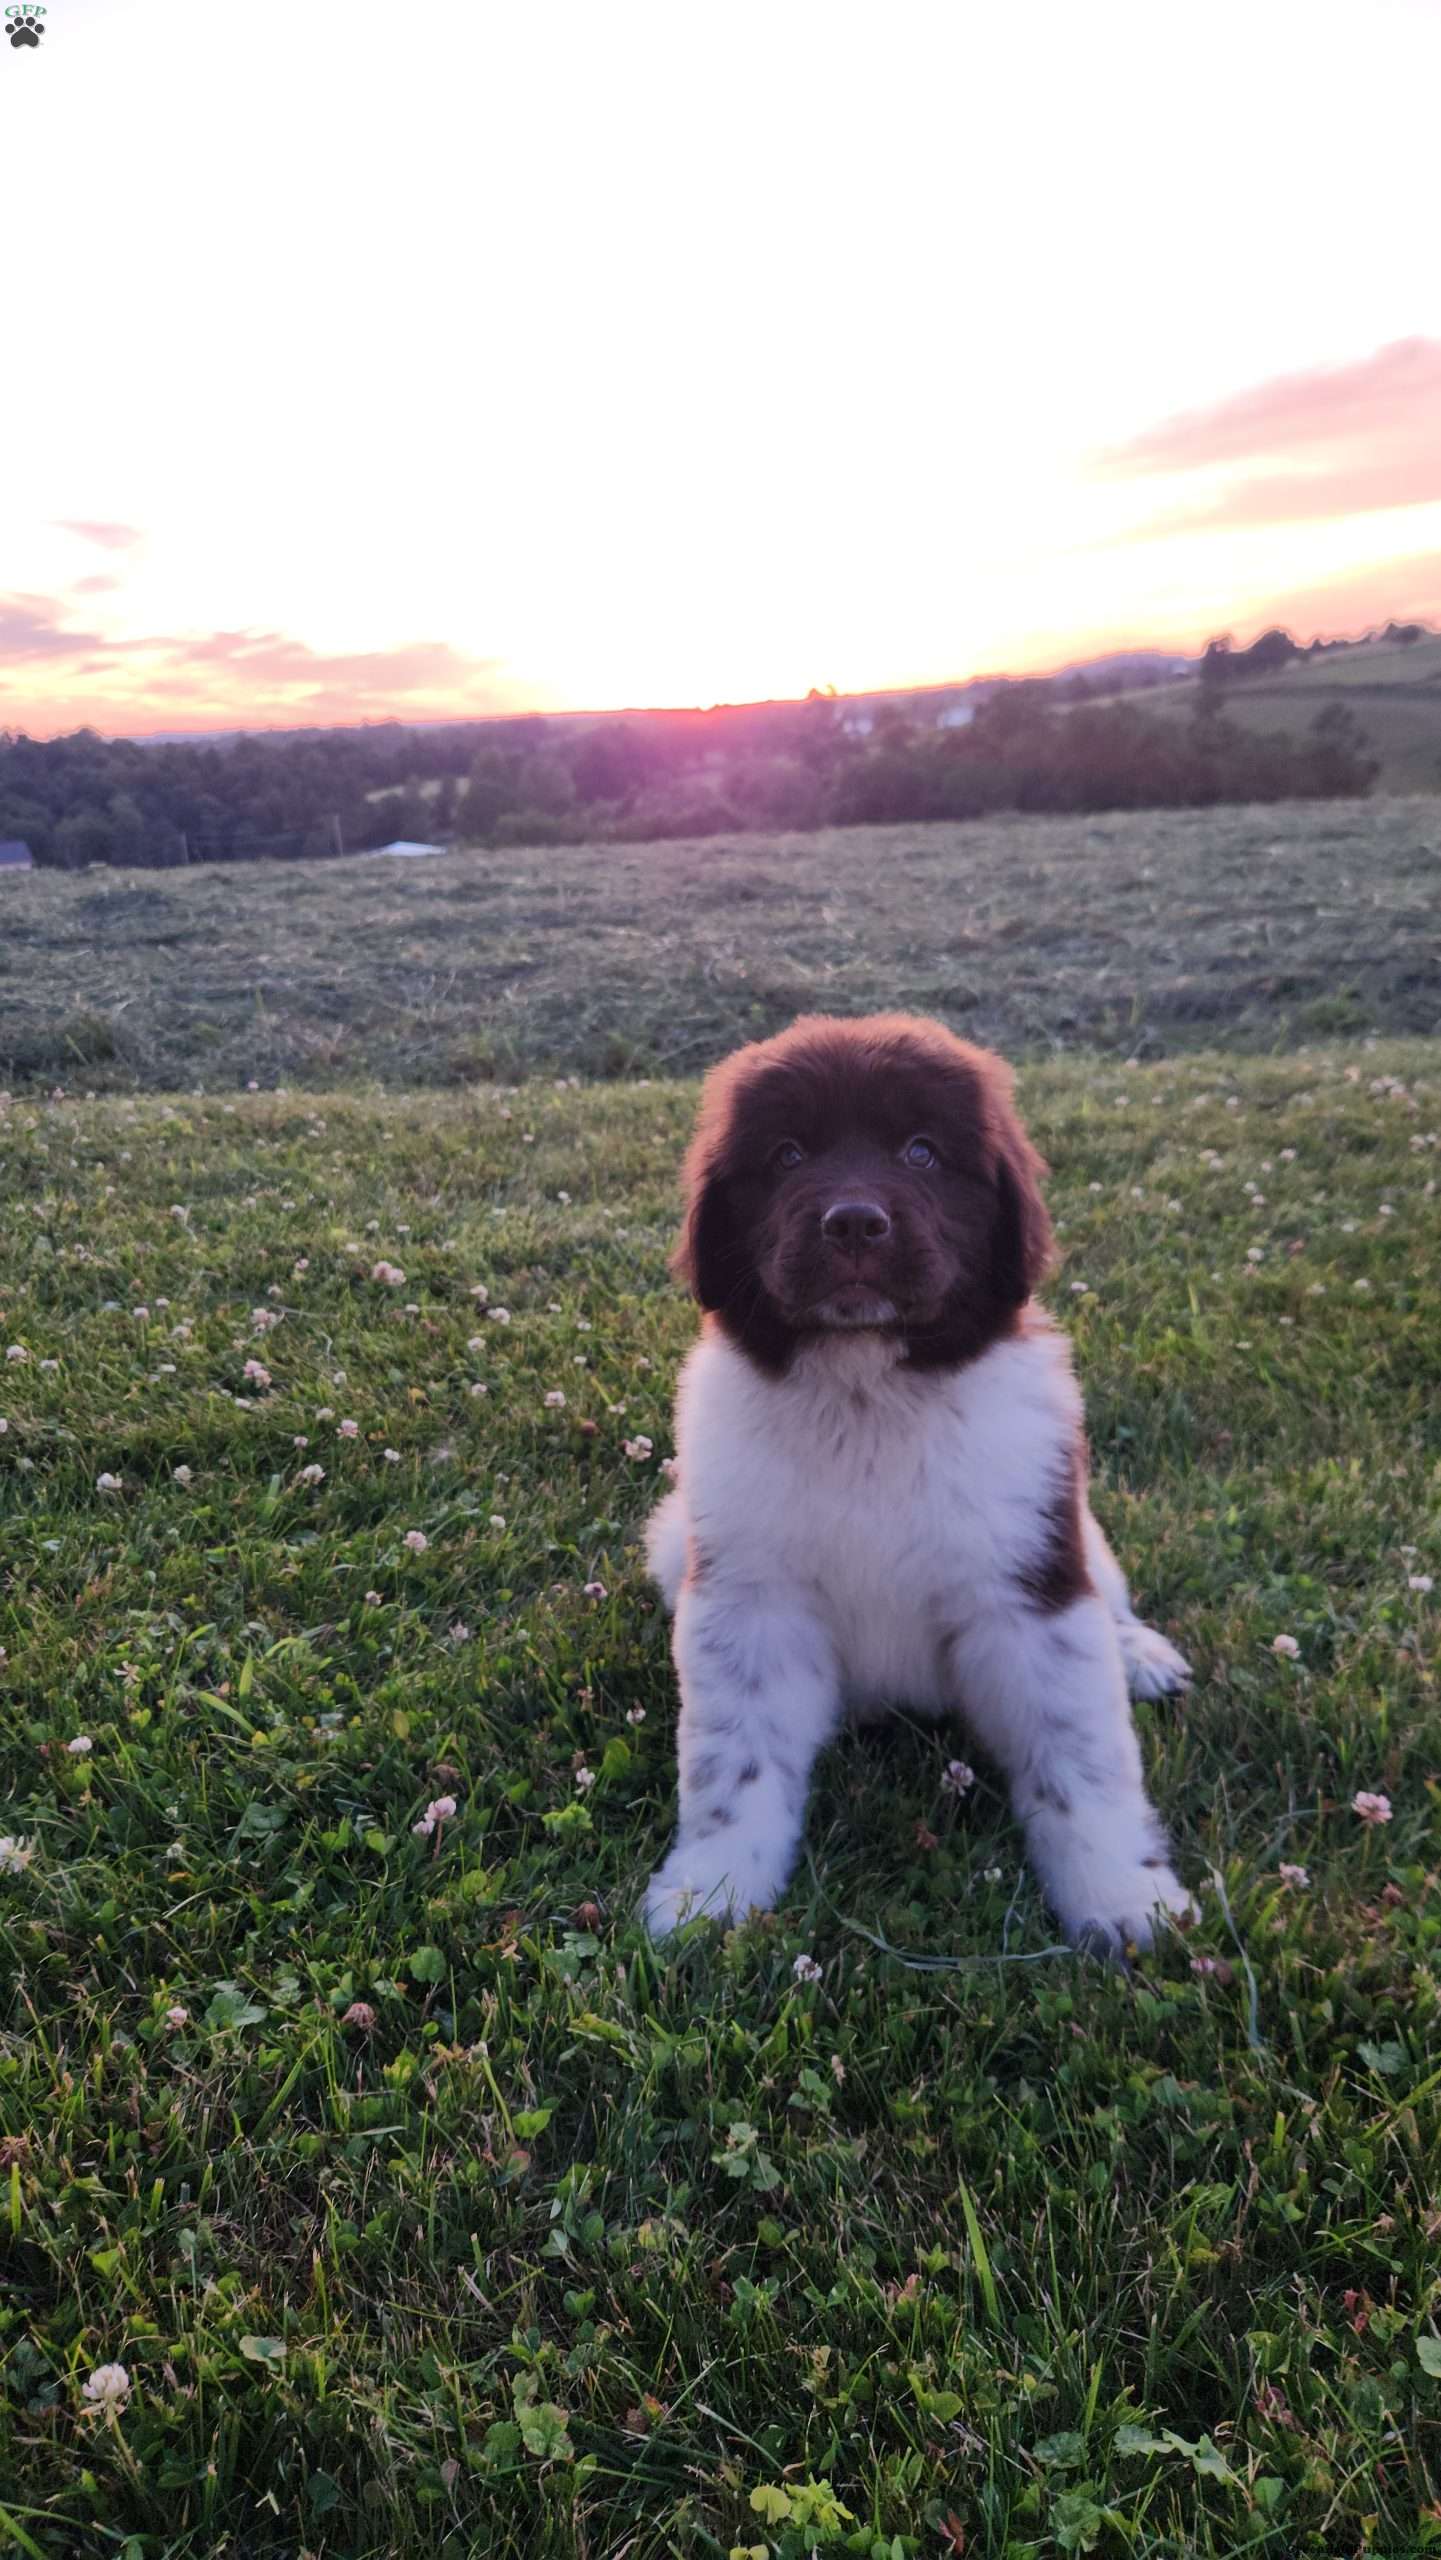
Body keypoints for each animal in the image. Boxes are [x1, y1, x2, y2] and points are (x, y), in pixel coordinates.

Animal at [642, 1008, 1197, 1945]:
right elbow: (733, 1759)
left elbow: (1080, 1755)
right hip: (671, 1538)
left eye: (922, 1153)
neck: (869, 1396)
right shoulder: (748, 1598)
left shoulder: (1029, 1583)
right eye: (786, 1154)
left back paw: (1141, 1654)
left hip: (1077, 1528)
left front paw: (1123, 1898)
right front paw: (711, 1892)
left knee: (1108, 1602)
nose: (853, 1225)